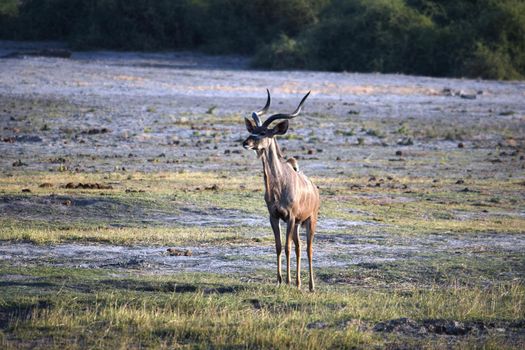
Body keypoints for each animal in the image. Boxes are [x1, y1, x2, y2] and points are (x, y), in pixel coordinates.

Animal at [242, 91, 320, 292]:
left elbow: (287, 247)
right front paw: (279, 281)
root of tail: (315, 190)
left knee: (308, 248)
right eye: (252, 129)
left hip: (310, 220)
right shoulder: (274, 216)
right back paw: (299, 283)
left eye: (263, 132)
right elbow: (278, 246)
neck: (279, 186)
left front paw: (288, 281)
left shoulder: (290, 217)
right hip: (297, 224)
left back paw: (310, 286)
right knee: (299, 246)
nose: (246, 142)